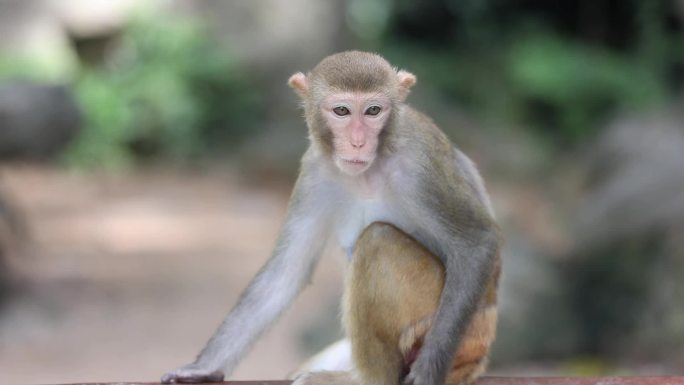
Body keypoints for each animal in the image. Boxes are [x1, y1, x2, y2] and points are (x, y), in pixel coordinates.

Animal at [160, 51, 502, 384]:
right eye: (342, 111)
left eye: (373, 111)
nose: (358, 142)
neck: (368, 173)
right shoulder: (315, 171)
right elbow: (287, 271)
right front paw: (202, 367)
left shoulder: (419, 166)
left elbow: (477, 244)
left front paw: (428, 371)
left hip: (450, 328)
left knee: (378, 240)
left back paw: (365, 379)